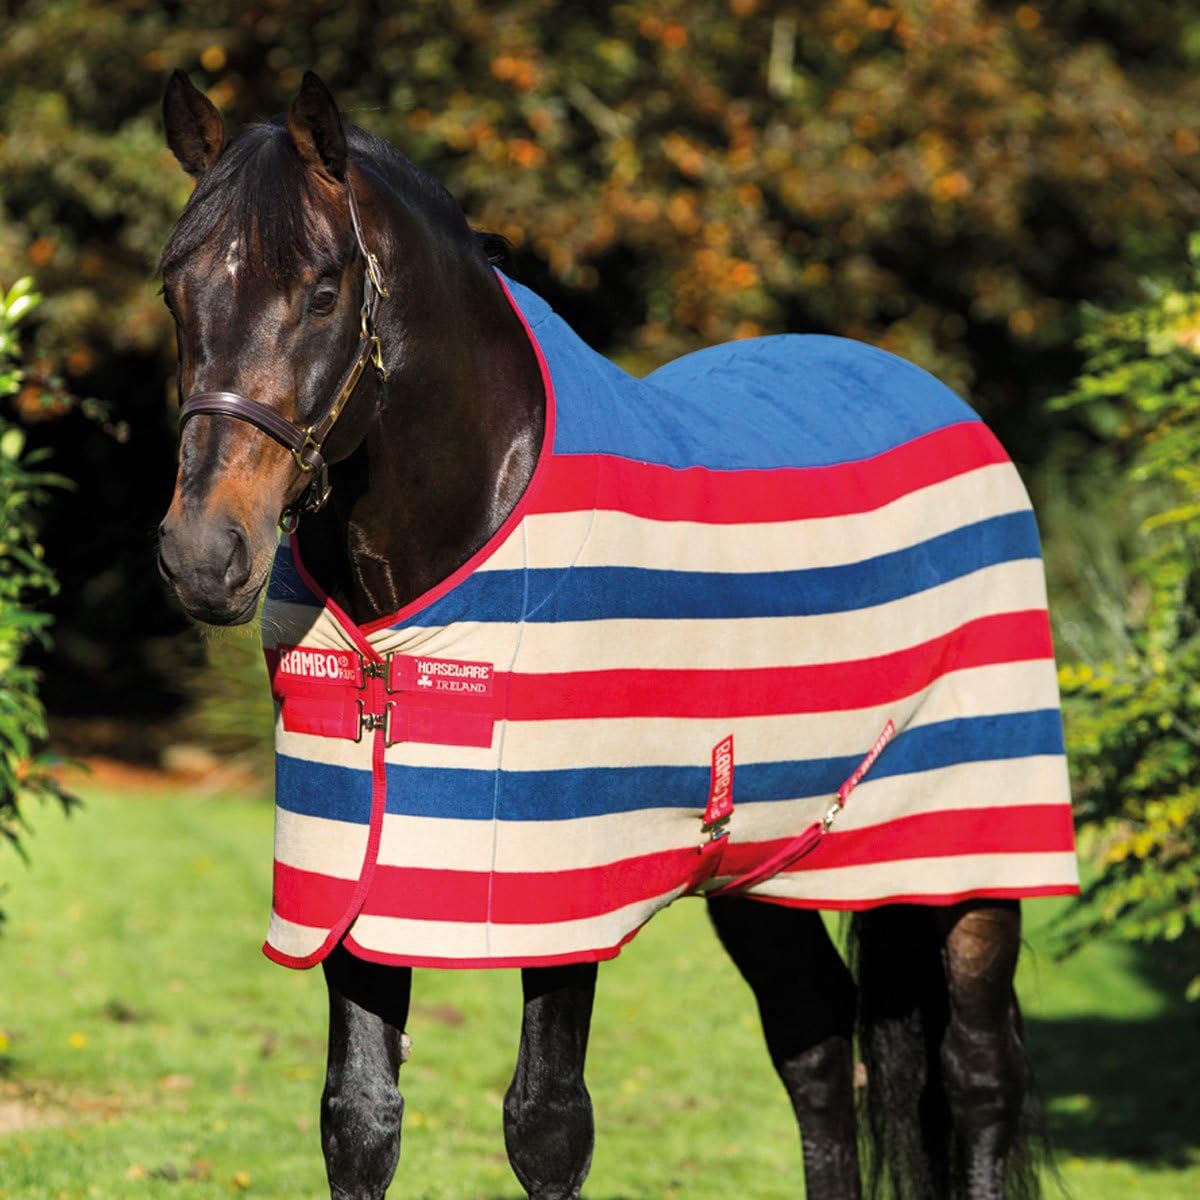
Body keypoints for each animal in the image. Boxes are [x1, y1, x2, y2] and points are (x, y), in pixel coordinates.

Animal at [156, 69, 1078, 1200]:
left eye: (324, 290)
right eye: (175, 289)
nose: (204, 555)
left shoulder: (563, 887)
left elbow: (548, 1123)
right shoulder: (351, 883)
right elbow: (359, 1119)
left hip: (978, 851)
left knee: (980, 1077)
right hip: (767, 860)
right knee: (820, 1051)